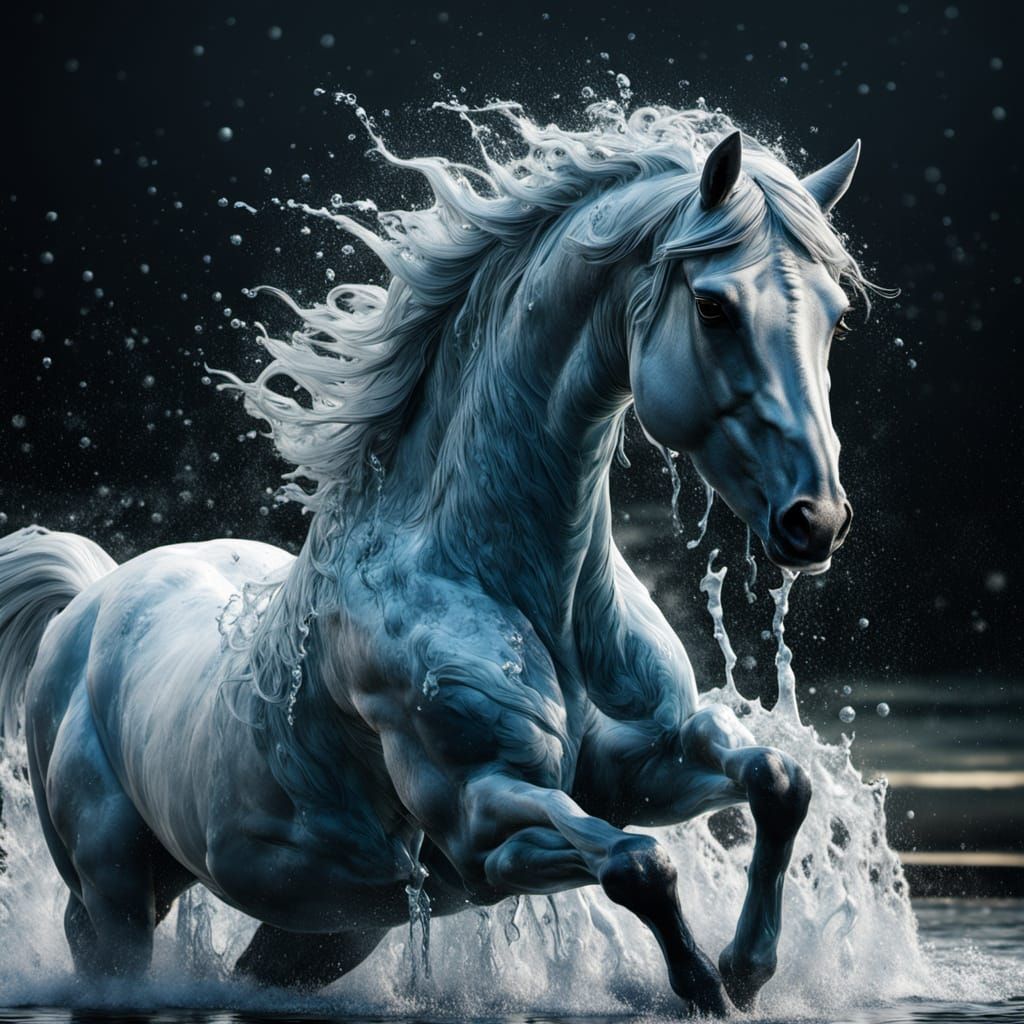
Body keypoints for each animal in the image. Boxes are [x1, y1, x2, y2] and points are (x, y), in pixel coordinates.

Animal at [0, 102, 880, 1015]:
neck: (521, 592)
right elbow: (639, 863)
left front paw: (748, 966)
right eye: (713, 308)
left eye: (836, 314)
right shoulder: (482, 820)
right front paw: (706, 982)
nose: (815, 521)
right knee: (107, 945)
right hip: (114, 891)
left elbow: (779, 781)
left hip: (330, 927)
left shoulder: (647, 762)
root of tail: (92, 596)